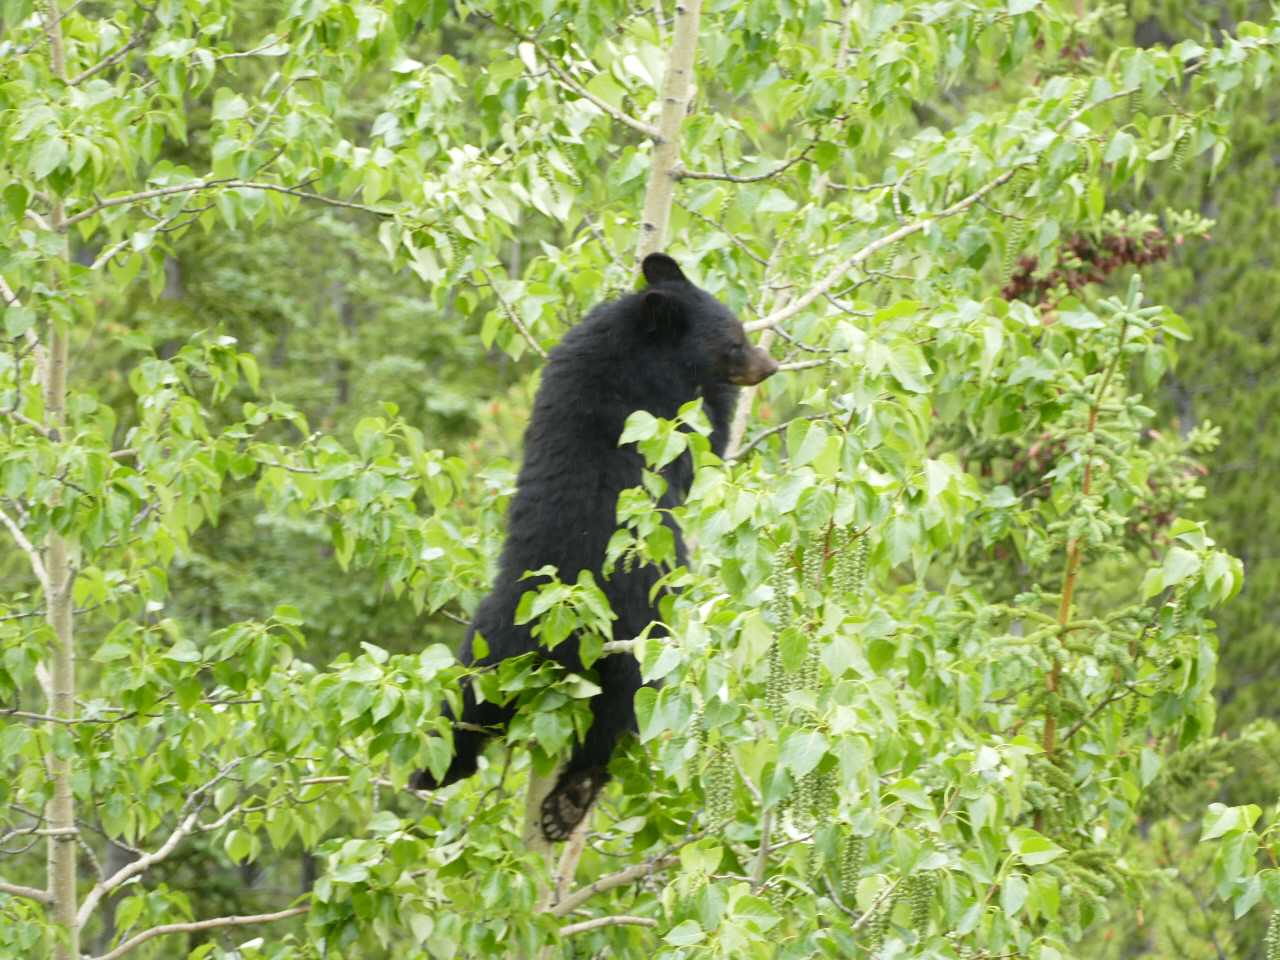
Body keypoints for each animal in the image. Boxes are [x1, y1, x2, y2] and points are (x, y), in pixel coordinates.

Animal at [417, 253, 778, 839]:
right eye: (734, 342)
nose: (769, 365)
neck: (633, 341)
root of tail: (566, 629)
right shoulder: (662, 408)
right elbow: (707, 441)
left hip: (499, 647)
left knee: (473, 703)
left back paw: (451, 772)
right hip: (637, 641)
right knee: (615, 717)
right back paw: (561, 796)